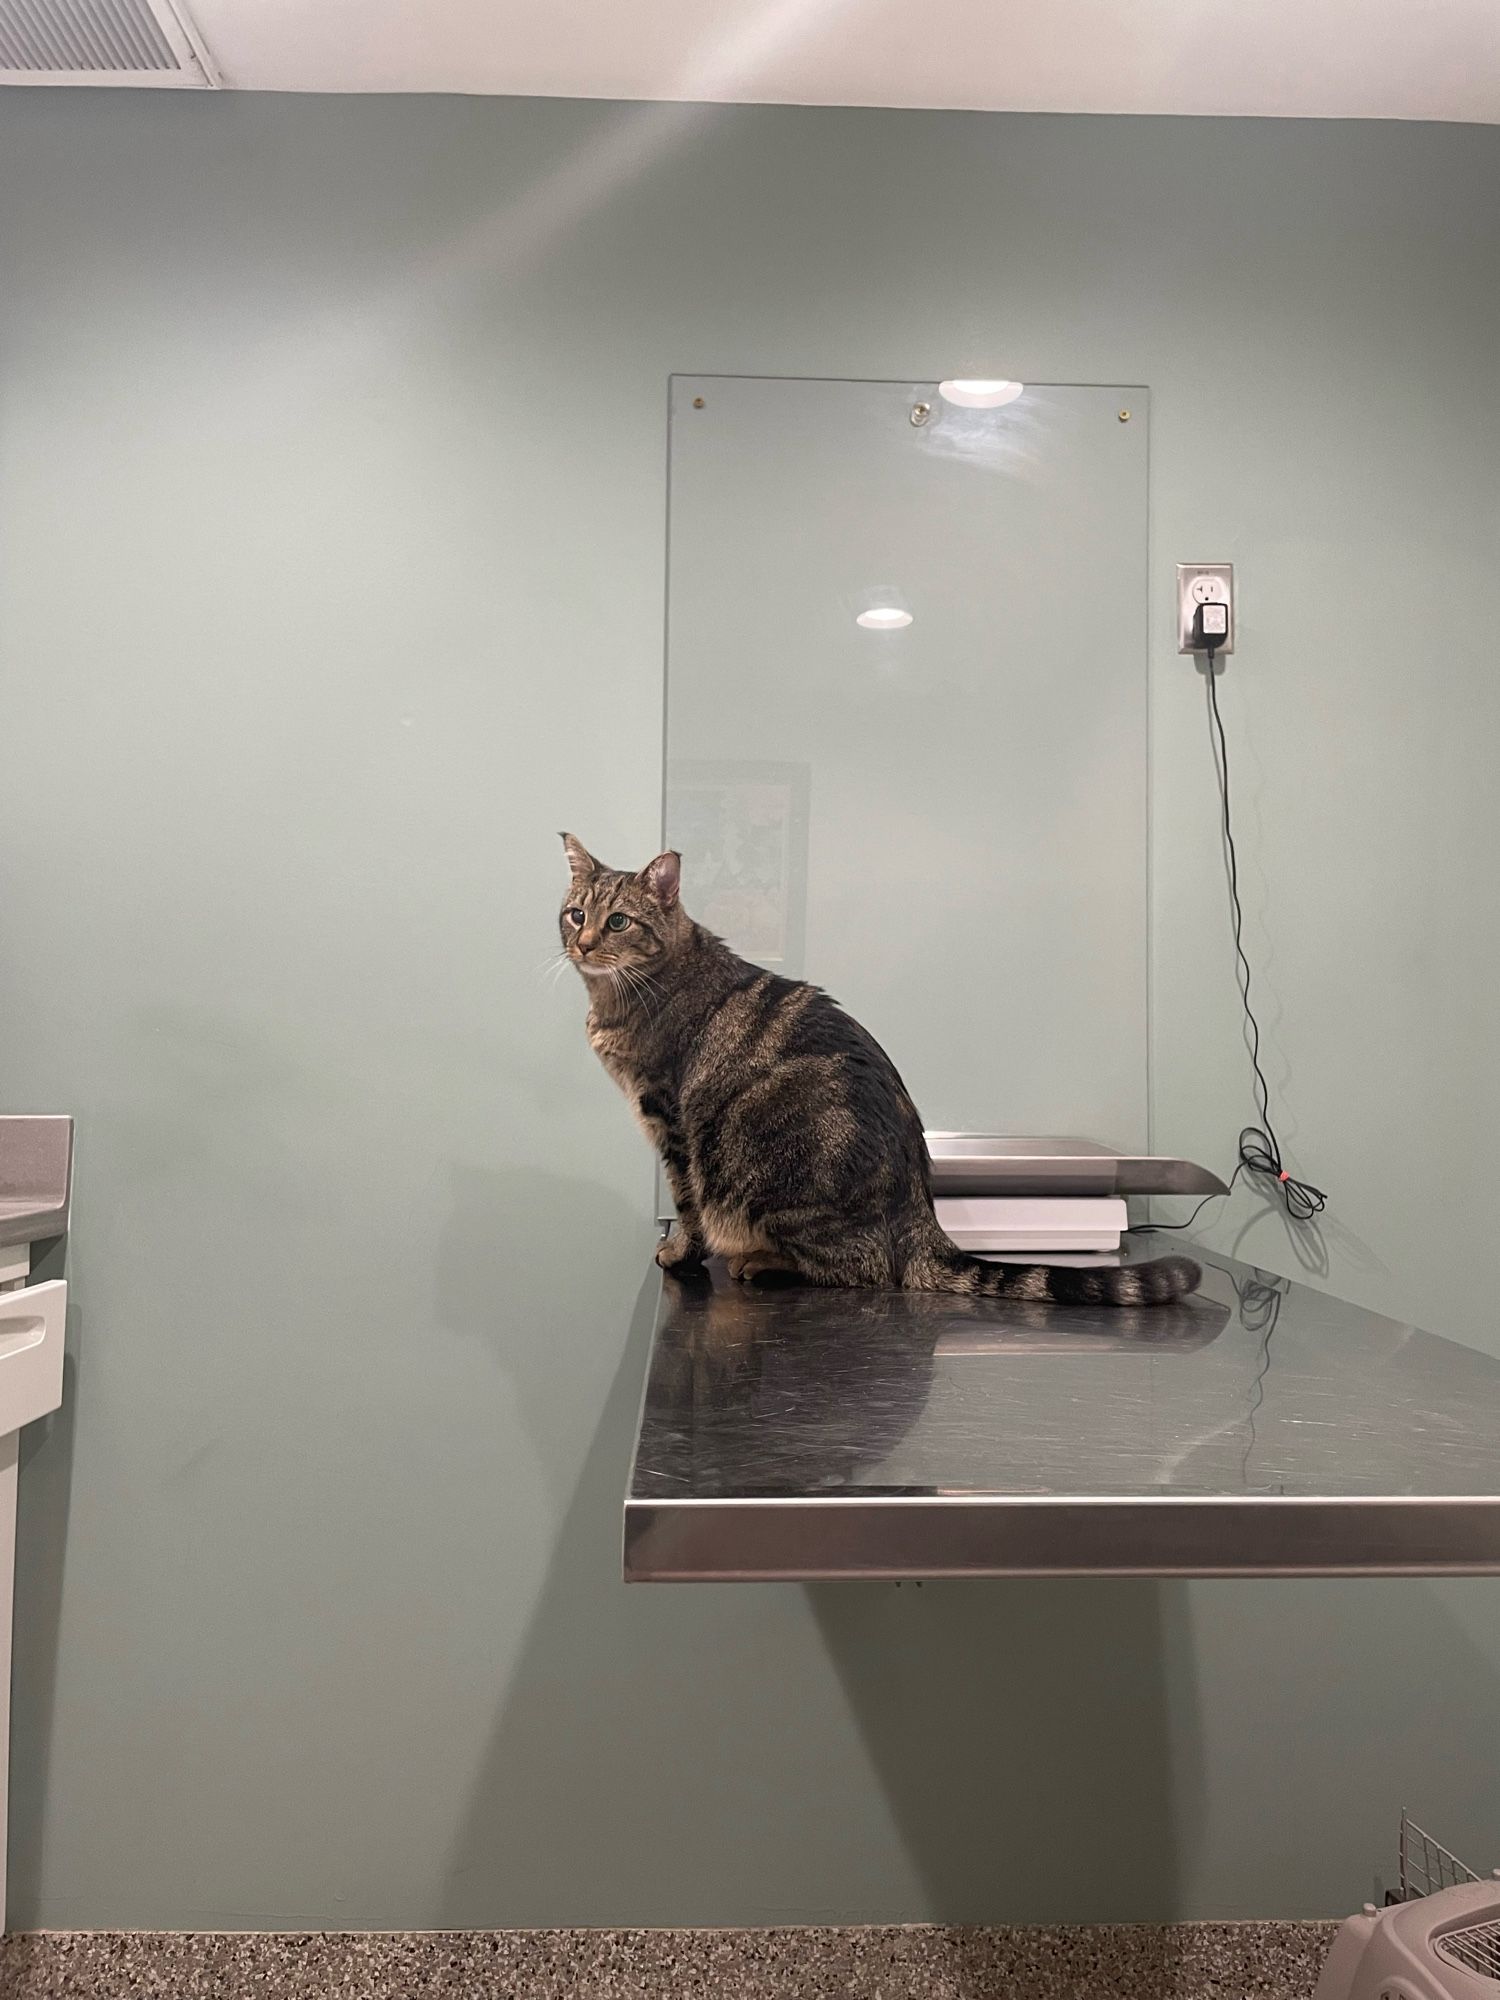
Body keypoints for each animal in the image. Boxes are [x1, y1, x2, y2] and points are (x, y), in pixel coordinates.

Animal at [560, 836, 1208, 1304]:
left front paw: (679, 1253)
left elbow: (688, 1205)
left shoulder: (670, 1120)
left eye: (618, 922)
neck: (618, 998)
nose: (583, 944)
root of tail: (923, 1215)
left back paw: (761, 1260)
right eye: (574, 914)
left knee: (864, 1268)